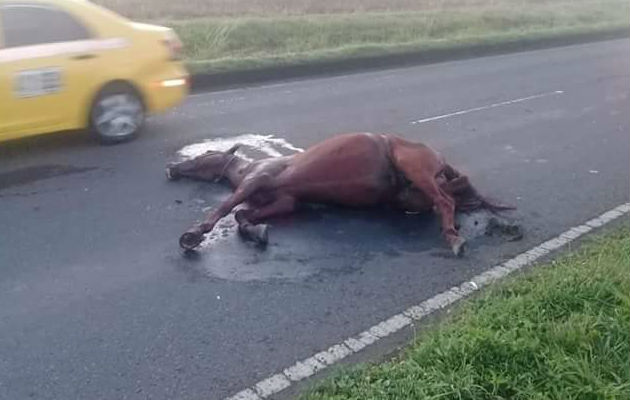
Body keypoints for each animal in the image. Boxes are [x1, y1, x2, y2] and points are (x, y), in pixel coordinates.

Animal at [168, 133, 512, 255]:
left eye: (206, 153)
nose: (172, 167)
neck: (246, 167)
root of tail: (437, 156)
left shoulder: (255, 179)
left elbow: (226, 208)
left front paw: (193, 235)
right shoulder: (286, 202)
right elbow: (243, 215)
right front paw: (258, 231)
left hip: (413, 167)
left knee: (446, 200)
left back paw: (454, 238)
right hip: (407, 196)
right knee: (459, 190)